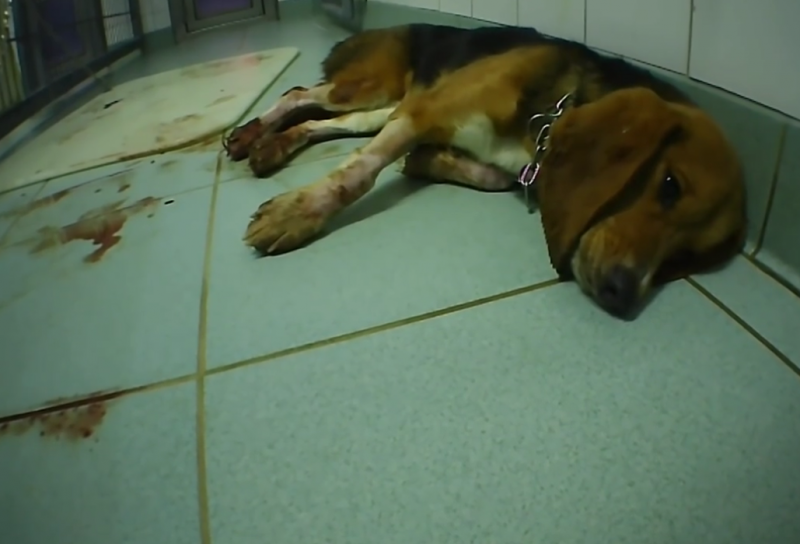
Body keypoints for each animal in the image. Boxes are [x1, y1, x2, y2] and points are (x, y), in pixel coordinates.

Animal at [223, 24, 746, 318]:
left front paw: (427, 160)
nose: (623, 294)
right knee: (297, 94)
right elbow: (358, 175)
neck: (549, 117)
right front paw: (295, 213)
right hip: (372, 87)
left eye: (684, 257)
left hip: (384, 105)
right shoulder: (425, 111)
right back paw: (250, 133)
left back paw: (270, 146)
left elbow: (490, 175)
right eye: (670, 186)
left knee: (318, 122)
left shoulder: (435, 121)